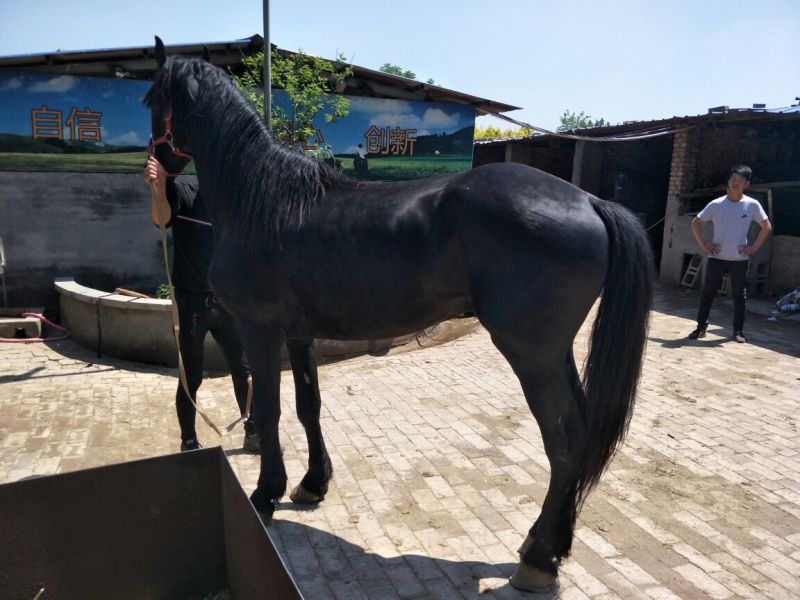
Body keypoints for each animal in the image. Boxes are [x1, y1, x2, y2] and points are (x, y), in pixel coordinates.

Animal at [145, 37, 653, 592]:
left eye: (150, 100)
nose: (155, 170)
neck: (263, 203)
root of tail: (588, 200)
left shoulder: (260, 333)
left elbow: (270, 410)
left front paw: (265, 495)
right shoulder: (300, 338)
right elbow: (308, 407)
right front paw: (312, 484)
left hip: (531, 356)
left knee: (564, 441)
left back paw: (538, 559)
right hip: (555, 353)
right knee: (580, 434)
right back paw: (549, 545)